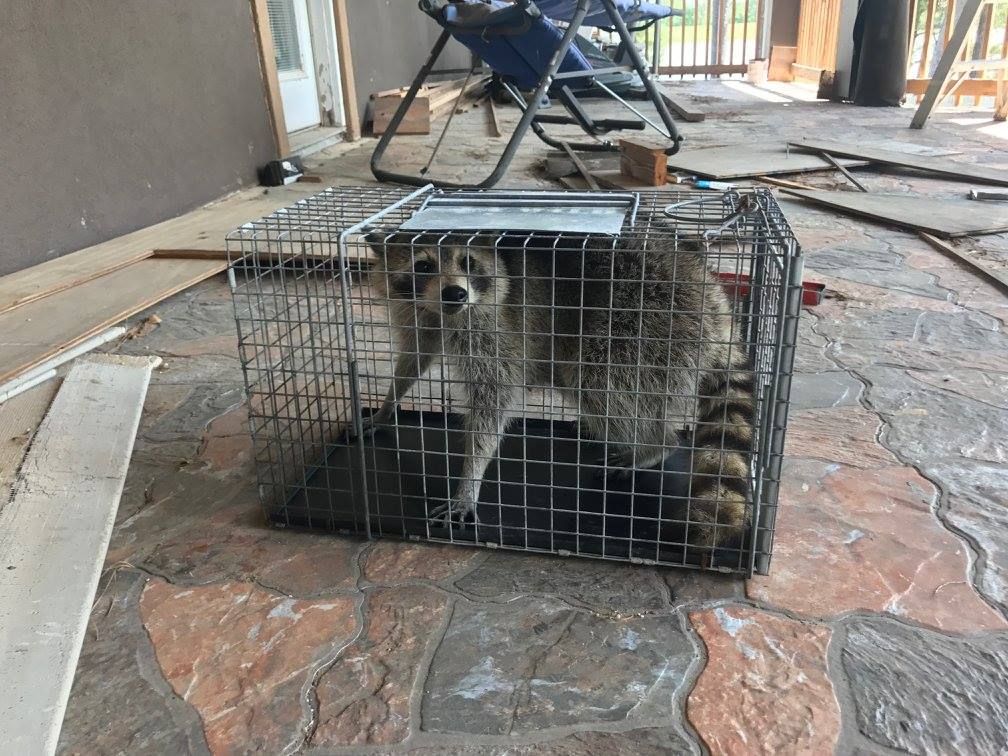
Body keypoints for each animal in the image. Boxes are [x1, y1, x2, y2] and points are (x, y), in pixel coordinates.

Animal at [361, 229, 755, 548]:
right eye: (423, 266)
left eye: (467, 262)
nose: (455, 293)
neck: (446, 313)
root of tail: (712, 294)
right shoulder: (421, 317)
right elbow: (413, 359)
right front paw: (386, 406)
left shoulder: (497, 331)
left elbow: (494, 405)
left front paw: (468, 482)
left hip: (647, 321)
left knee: (597, 382)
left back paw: (652, 445)